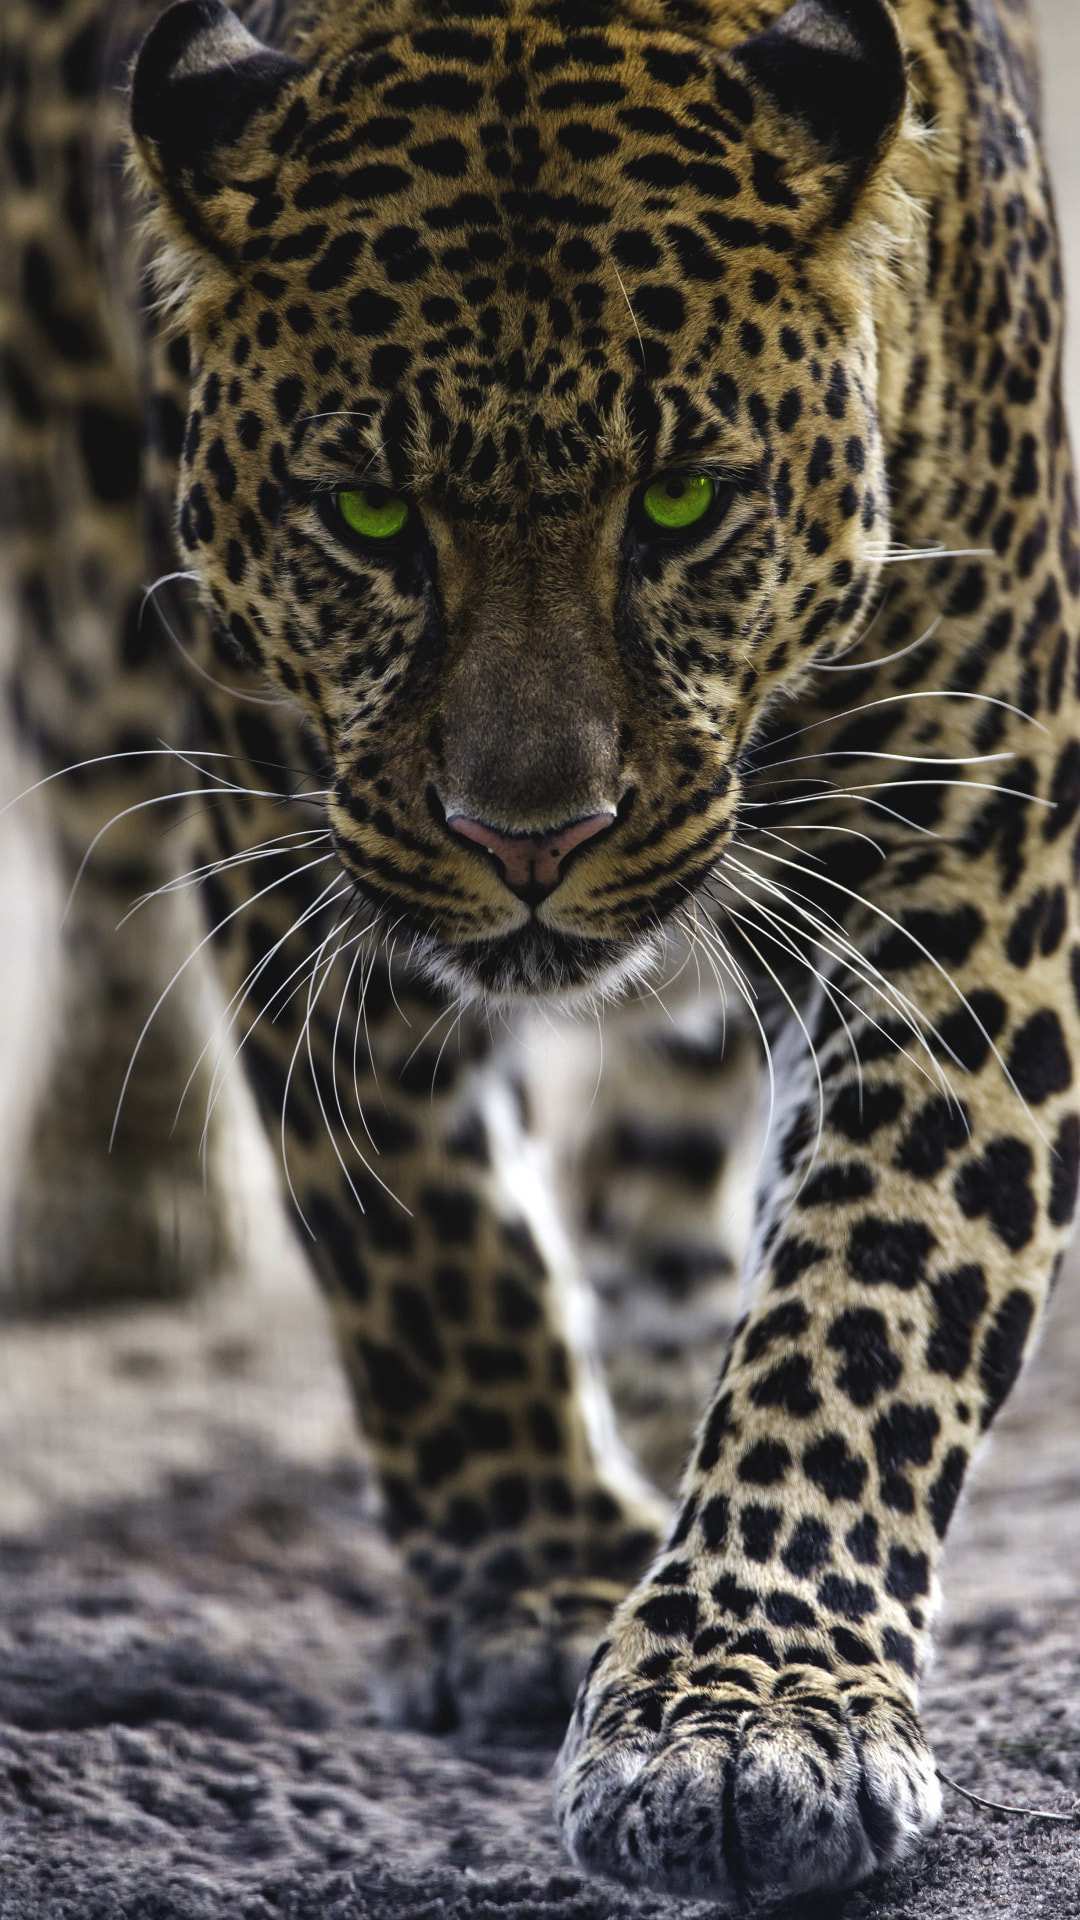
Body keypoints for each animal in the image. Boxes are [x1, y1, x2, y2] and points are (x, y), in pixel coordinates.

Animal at [2, 0, 1079, 1902]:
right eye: (367, 516)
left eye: (685, 502)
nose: (530, 839)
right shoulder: (298, 829)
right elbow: (431, 1246)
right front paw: (537, 1585)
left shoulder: (971, 840)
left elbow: (872, 1292)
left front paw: (748, 1712)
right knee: (94, 835)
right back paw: (110, 1192)